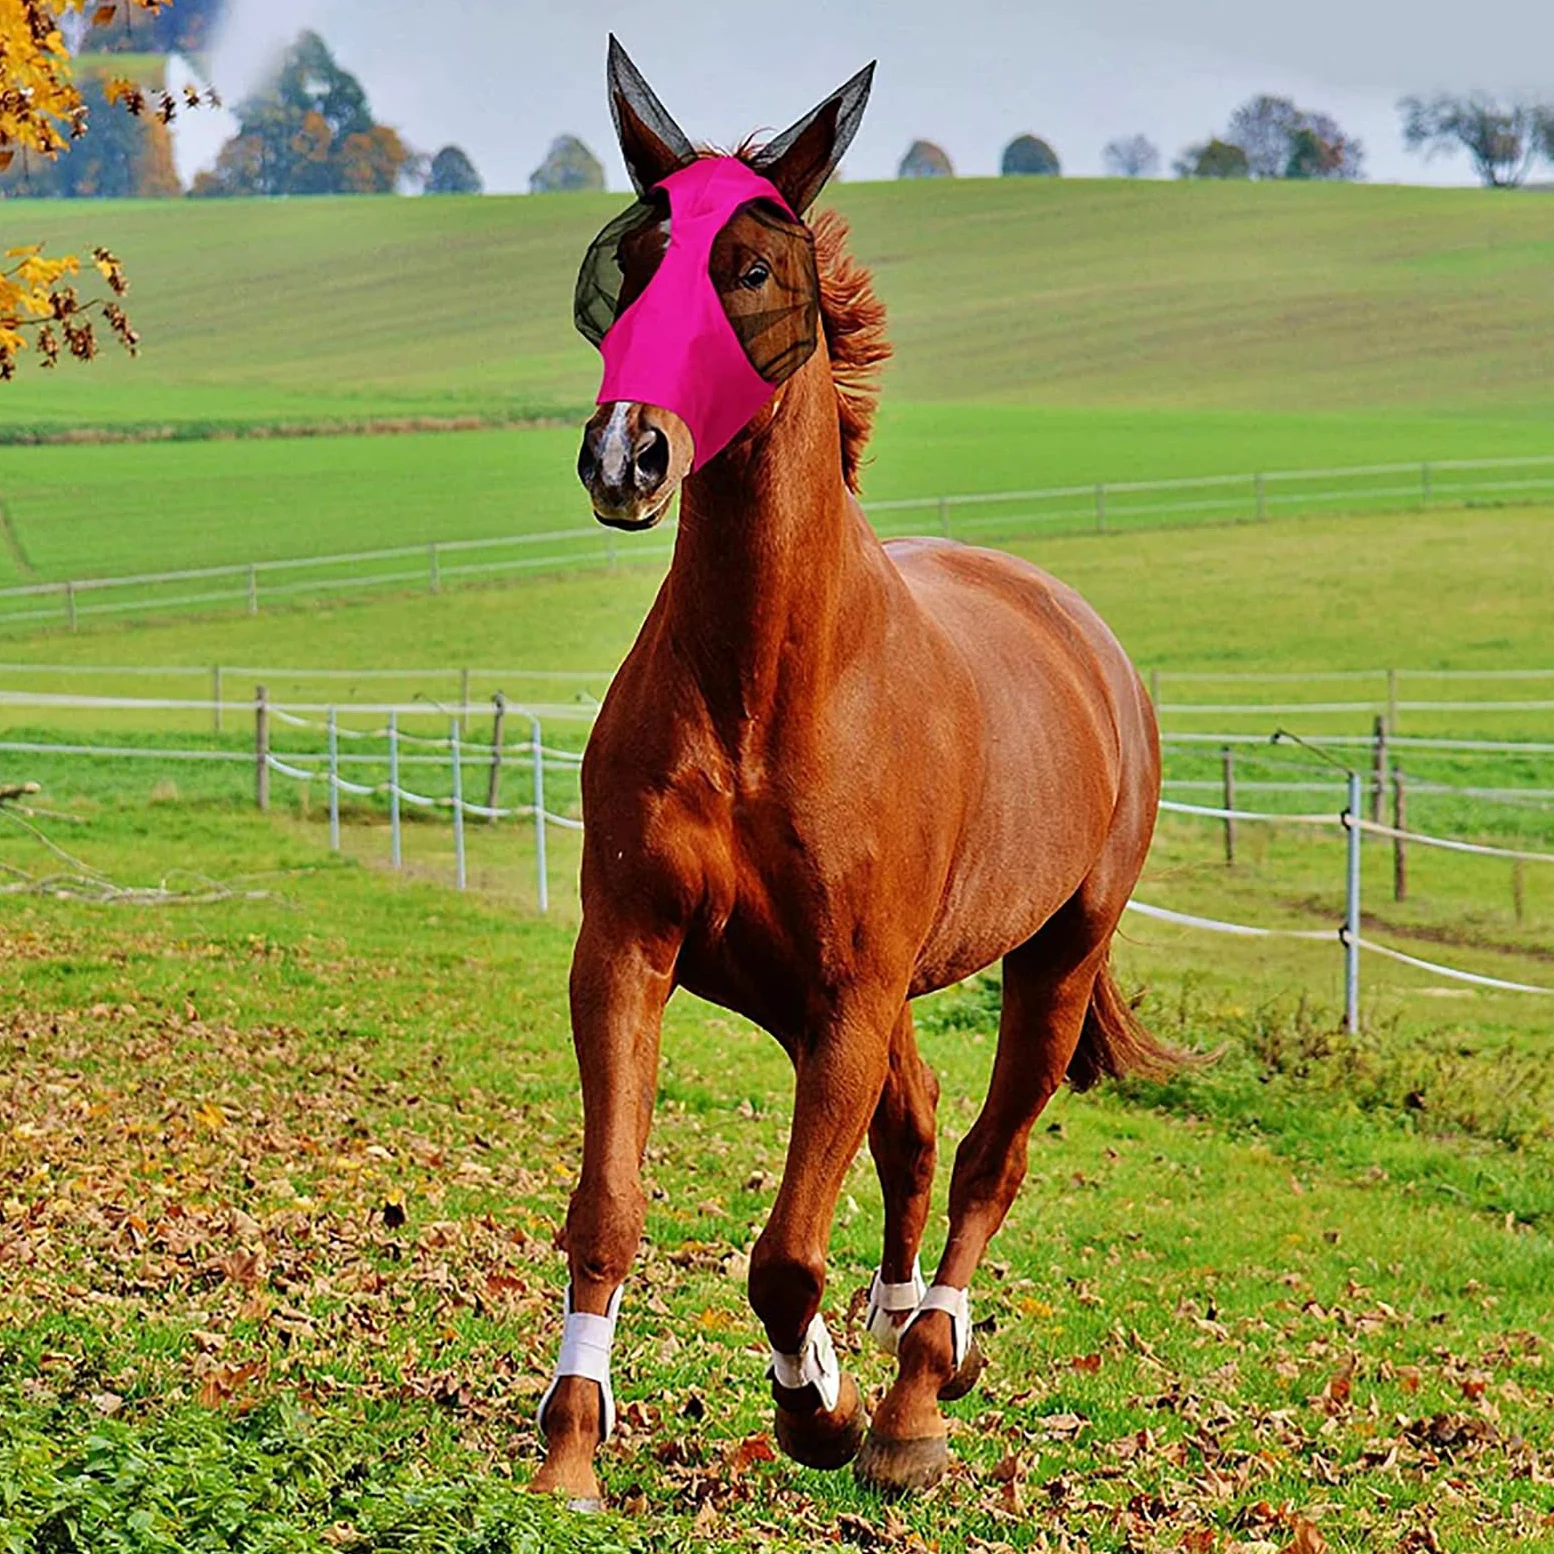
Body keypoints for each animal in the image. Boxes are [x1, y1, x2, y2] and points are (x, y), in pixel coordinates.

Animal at [533, 38, 1177, 1507]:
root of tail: (1087, 640)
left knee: (988, 1157)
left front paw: (817, 1408)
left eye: (751, 270)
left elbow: (783, 1254)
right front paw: (570, 1448)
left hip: (1048, 960)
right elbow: (611, 1204)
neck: (765, 690)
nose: (626, 453)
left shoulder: (847, 994)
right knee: (920, 1126)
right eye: (629, 261)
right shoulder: (634, 950)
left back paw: (917, 1393)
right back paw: (894, 1332)